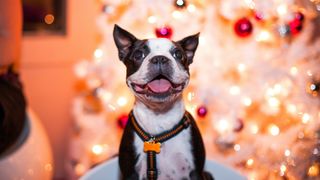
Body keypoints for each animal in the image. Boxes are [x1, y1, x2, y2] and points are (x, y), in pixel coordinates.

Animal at [112, 24, 212, 180]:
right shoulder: (130, 173)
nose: (159, 58)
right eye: (138, 55)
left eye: (178, 54)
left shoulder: (196, 172)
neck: (159, 116)